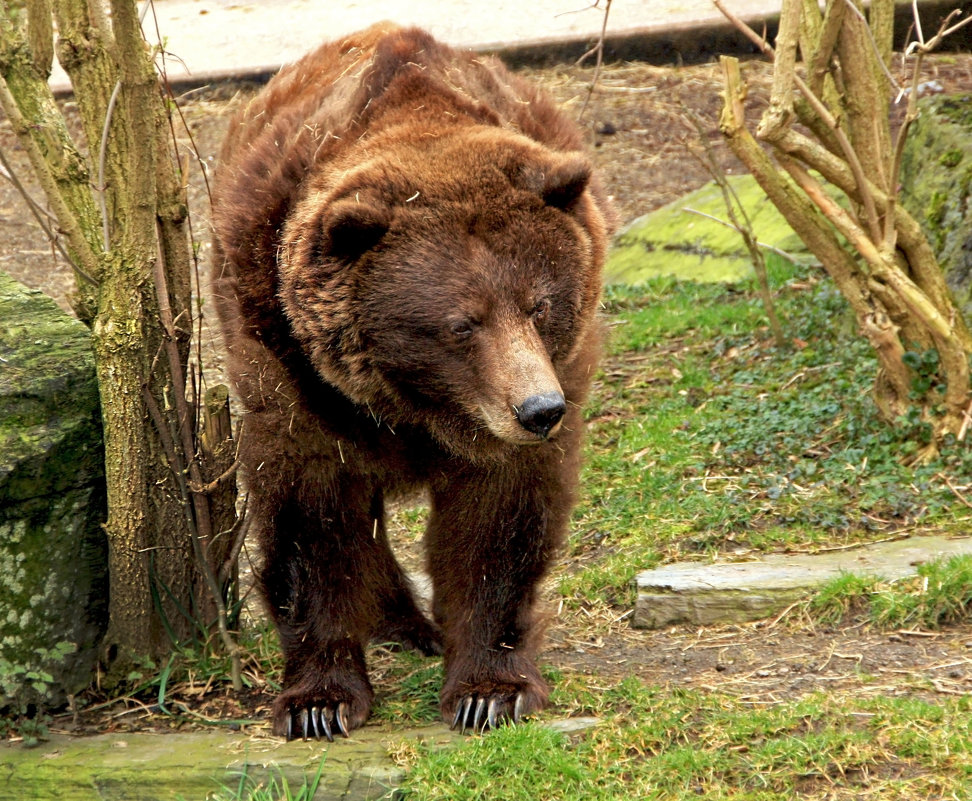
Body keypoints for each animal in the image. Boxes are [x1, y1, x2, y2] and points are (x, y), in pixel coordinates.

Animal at [211, 21, 608, 740]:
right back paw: (401, 620)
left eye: (540, 303)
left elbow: (498, 522)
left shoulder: (538, 387)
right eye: (462, 323)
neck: (420, 406)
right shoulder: (289, 366)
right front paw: (319, 701)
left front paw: (490, 689)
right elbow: (311, 514)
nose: (540, 409)